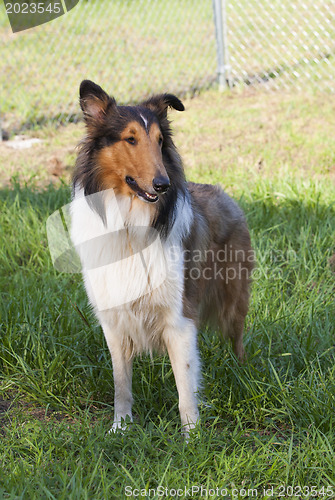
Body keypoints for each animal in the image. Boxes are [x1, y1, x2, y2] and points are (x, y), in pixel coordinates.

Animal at [71, 79, 255, 438]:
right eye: (130, 139)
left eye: (159, 141)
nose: (163, 184)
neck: (130, 224)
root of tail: (222, 191)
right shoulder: (114, 321)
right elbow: (121, 383)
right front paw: (120, 428)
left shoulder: (179, 318)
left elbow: (185, 385)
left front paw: (192, 437)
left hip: (233, 298)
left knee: (237, 338)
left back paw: (242, 373)